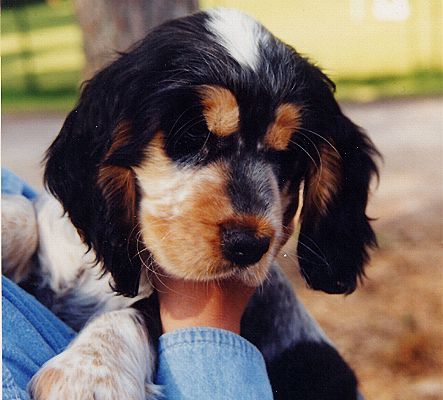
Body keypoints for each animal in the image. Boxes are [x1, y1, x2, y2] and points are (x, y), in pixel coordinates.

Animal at [1, 7, 380, 398]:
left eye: (289, 154)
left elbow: (138, 312)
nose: (248, 246)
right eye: (194, 133)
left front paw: (87, 376)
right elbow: (24, 212)